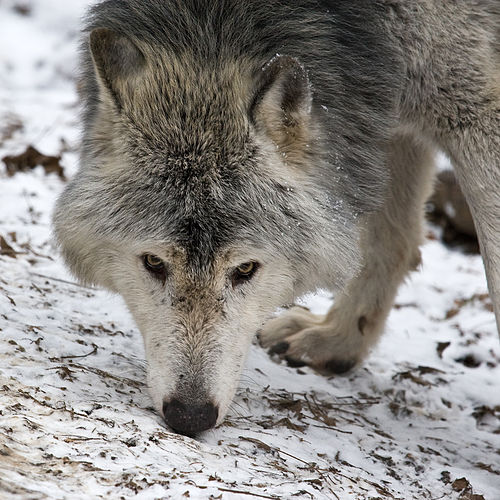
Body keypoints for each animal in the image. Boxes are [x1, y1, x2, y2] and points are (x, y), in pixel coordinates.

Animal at [51, 0, 500, 436]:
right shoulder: (378, 105)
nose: (190, 415)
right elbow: (388, 239)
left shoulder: (476, 112)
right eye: (153, 263)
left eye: (246, 269)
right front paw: (339, 342)